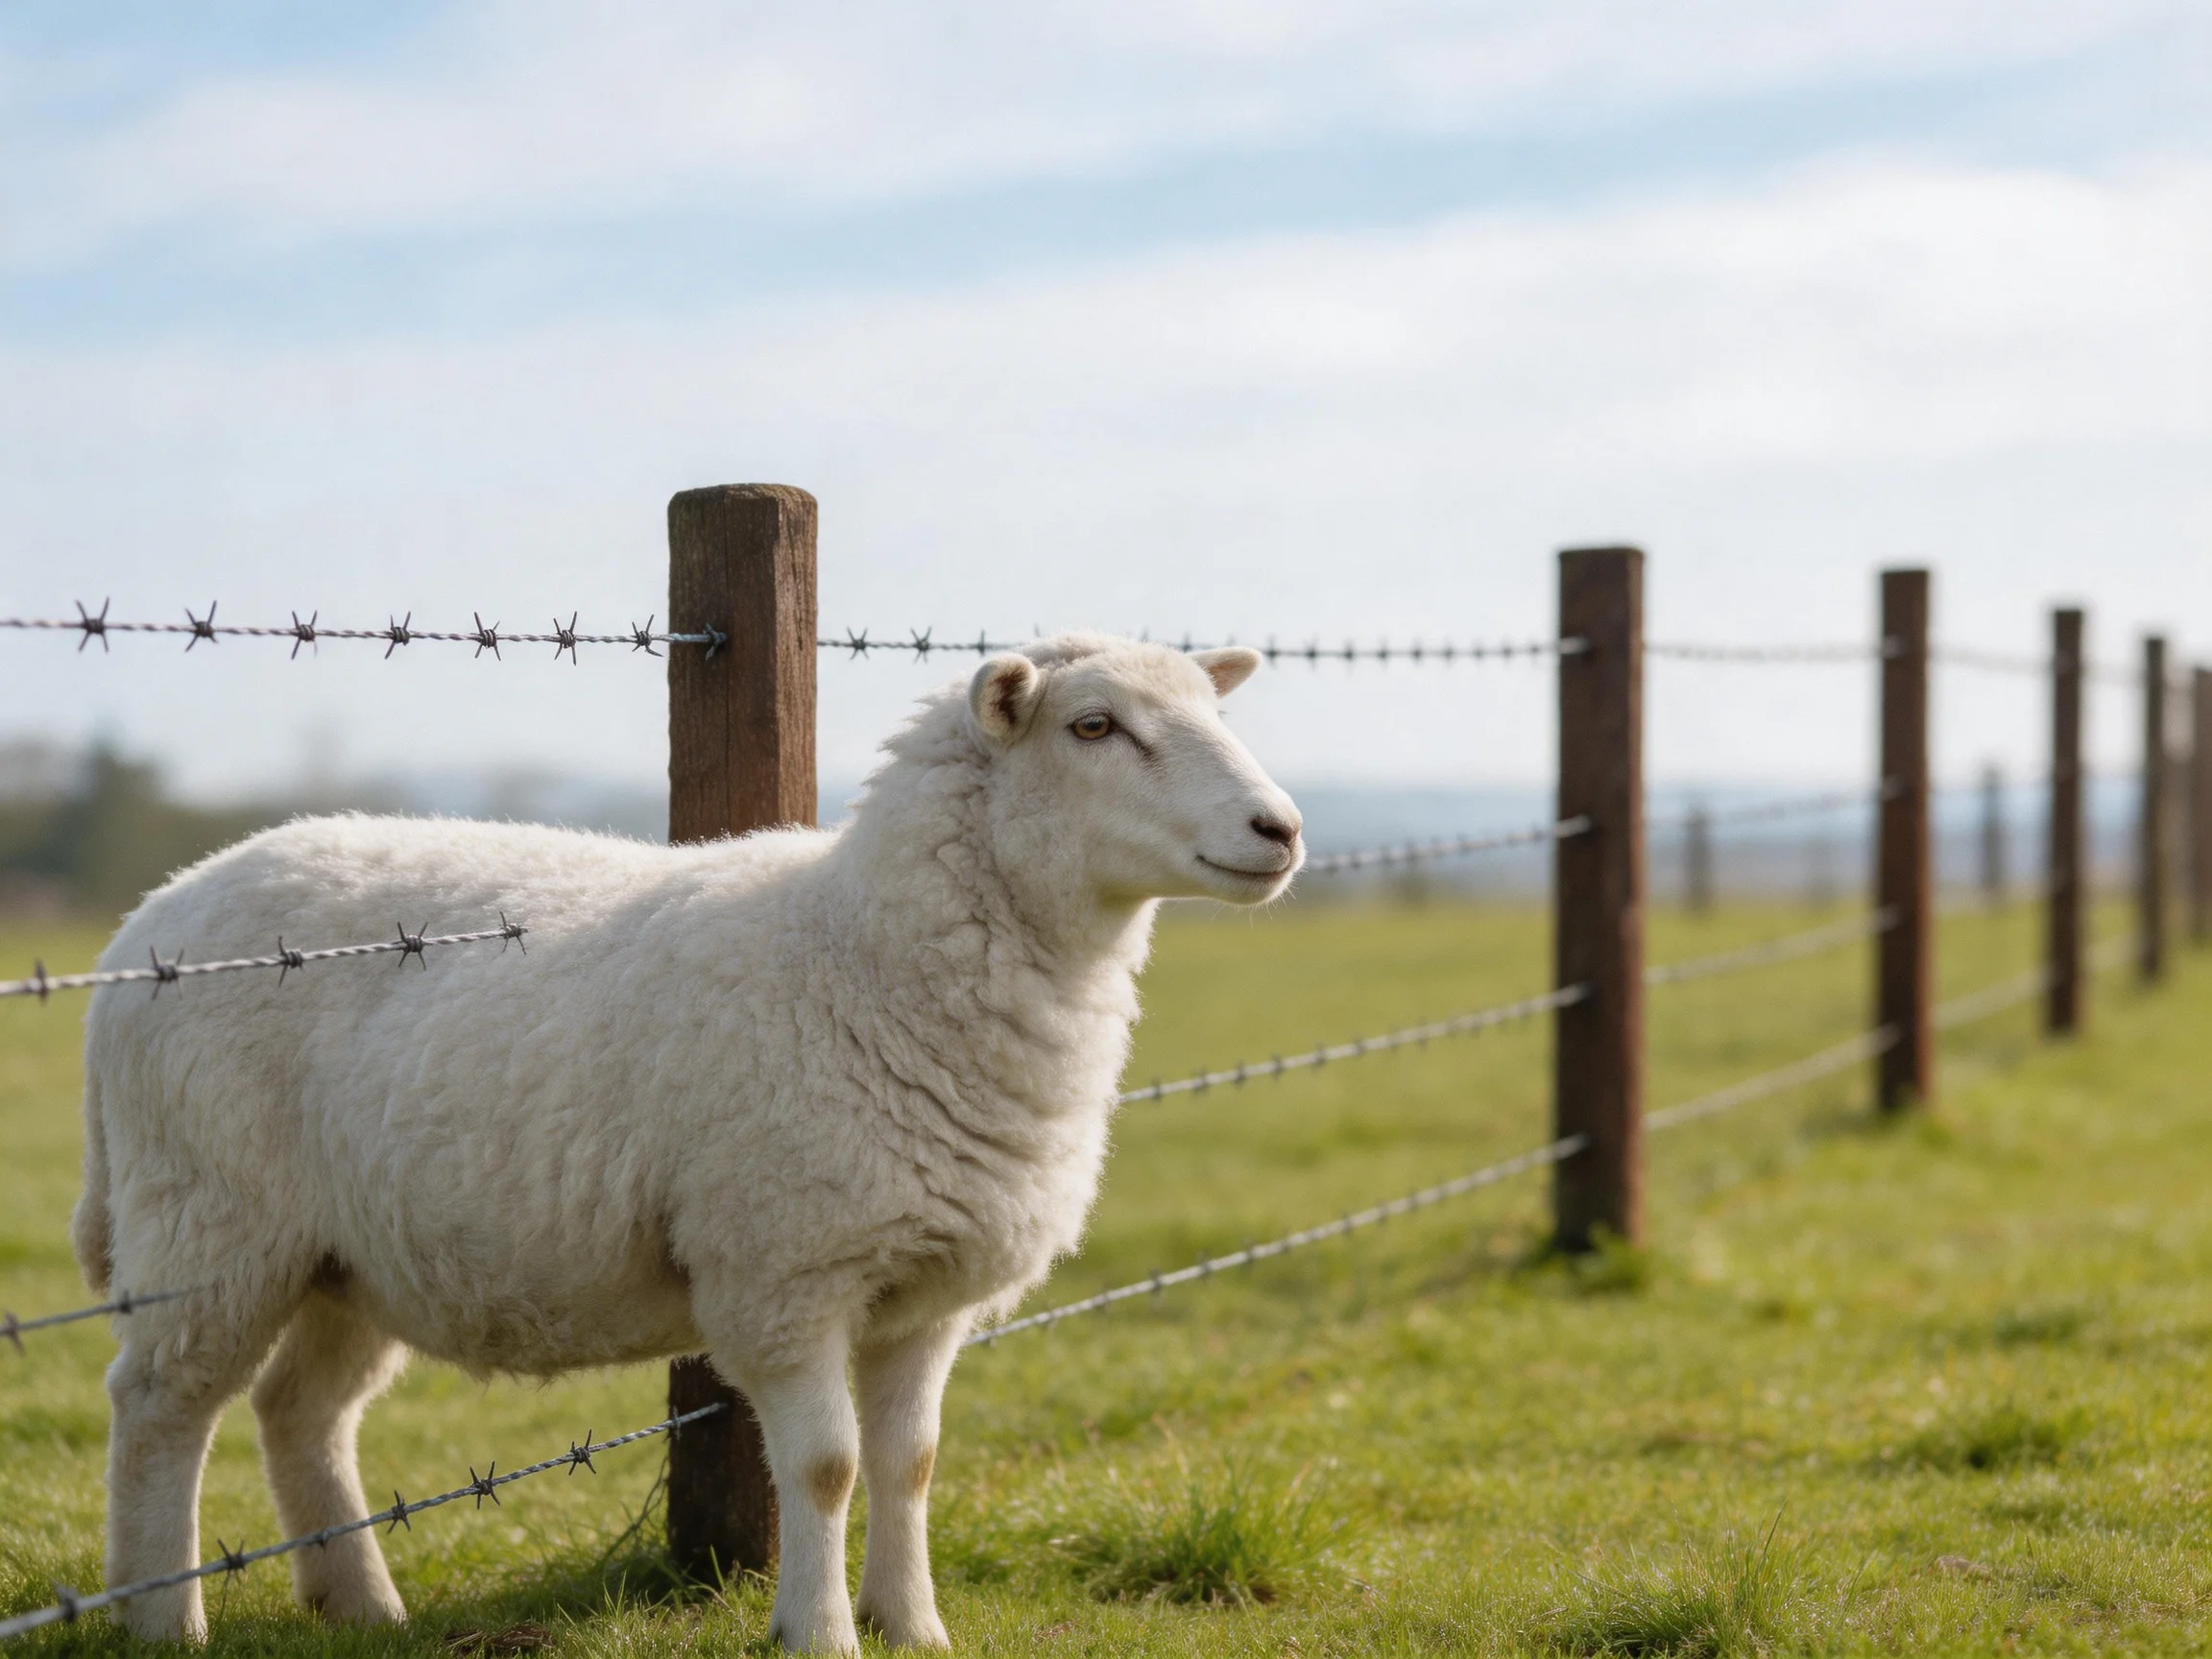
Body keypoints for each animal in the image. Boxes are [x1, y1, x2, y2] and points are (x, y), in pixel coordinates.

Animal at [71, 632, 1302, 1653]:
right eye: (1093, 726)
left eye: (1212, 708)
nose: (1281, 830)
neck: (862, 950)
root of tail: (144, 925)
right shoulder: (783, 1269)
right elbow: (826, 1467)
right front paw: (819, 1635)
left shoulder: (925, 1292)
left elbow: (909, 1465)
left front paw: (915, 1628)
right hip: (210, 1217)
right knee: (159, 1407)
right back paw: (161, 1619)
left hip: (351, 1251)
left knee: (300, 1411)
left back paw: (361, 1607)